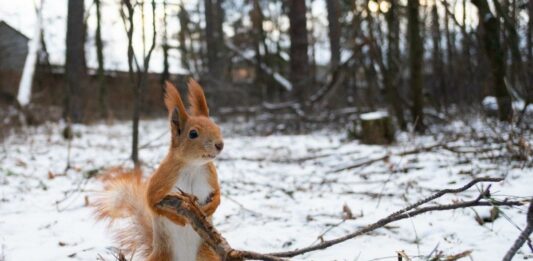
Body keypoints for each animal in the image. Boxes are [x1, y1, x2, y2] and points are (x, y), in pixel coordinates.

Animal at [95, 79, 222, 260]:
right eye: (193, 134)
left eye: (217, 127)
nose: (220, 144)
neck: (193, 167)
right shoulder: (162, 179)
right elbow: (151, 202)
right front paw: (178, 219)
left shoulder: (210, 176)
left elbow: (218, 194)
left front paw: (212, 206)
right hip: (163, 255)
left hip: (207, 254)